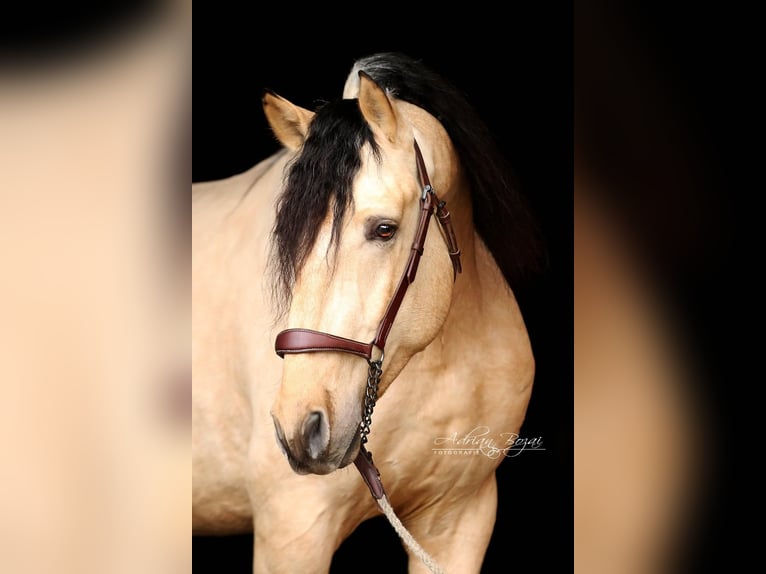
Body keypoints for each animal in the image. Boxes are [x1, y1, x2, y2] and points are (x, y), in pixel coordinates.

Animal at [192, 52, 543, 572]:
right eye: (289, 240)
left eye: (384, 229)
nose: (301, 429)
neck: (441, 366)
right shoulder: (294, 531)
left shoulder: (460, 523)